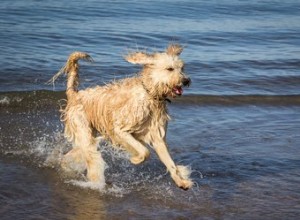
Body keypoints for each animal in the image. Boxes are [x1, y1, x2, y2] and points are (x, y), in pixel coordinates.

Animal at [49, 44, 192, 189]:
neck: (150, 95)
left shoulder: (157, 136)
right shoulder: (120, 130)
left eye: (182, 68)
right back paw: (96, 181)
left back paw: (65, 163)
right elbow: (144, 151)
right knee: (91, 156)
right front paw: (135, 159)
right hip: (82, 129)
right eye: (170, 68)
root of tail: (74, 94)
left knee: (78, 152)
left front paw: (181, 181)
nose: (186, 80)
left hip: (87, 134)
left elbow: (170, 162)